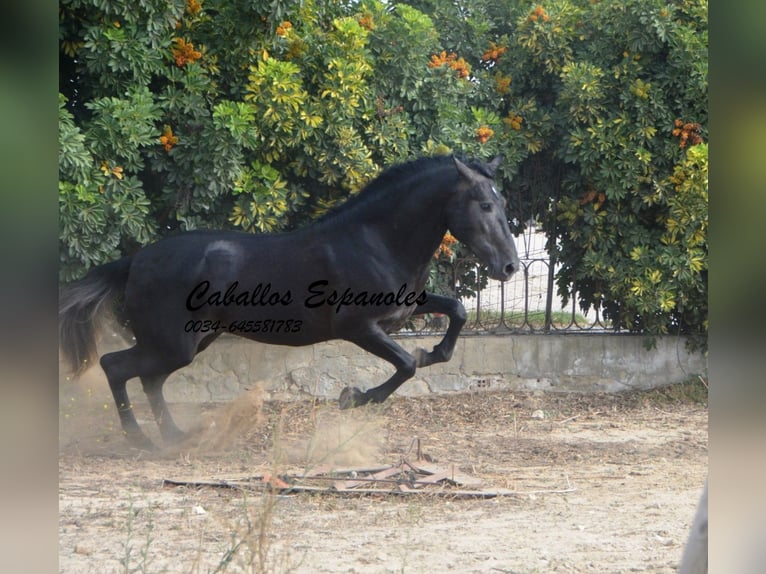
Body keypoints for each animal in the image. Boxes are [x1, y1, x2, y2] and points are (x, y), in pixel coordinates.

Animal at [60, 156, 520, 450]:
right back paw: (140, 439)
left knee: (149, 380)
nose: (510, 266)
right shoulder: (357, 327)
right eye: (484, 204)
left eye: (502, 203)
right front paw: (352, 397)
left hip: (189, 342)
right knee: (116, 367)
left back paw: (174, 437)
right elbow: (406, 364)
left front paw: (434, 353)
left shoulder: (402, 310)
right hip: (172, 344)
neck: (375, 239)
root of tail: (137, 259)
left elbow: (456, 311)